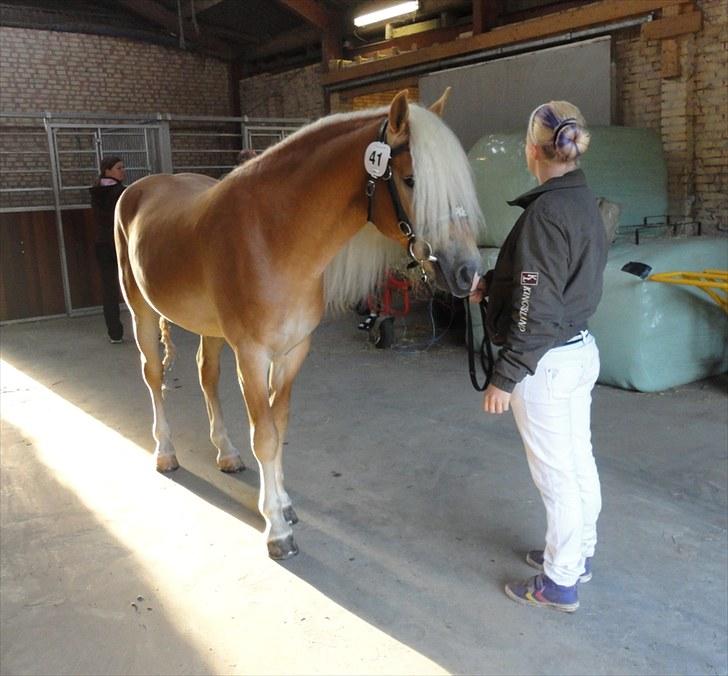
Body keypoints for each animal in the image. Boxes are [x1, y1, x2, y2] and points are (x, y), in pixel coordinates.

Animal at [115, 87, 484, 556]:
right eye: (411, 180)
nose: (468, 272)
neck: (272, 237)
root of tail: (141, 188)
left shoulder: (292, 351)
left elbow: (280, 426)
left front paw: (284, 504)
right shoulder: (252, 355)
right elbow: (265, 435)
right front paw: (277, 529)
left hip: (210, 329)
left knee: (206, 376)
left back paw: (226, 454)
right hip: (140, 310)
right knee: (153, 374)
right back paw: (165, 453)